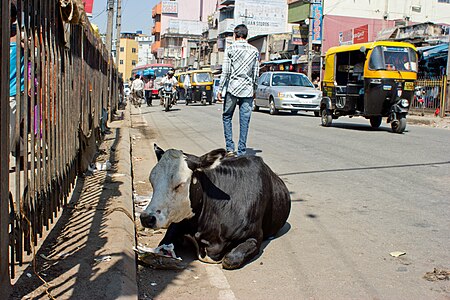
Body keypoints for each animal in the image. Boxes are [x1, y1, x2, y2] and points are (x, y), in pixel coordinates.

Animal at [141, 145, 292, 270]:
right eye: (152, 181)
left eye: (179, 184)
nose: (146, 218)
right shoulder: (177, 224)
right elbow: (162, 246)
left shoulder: (255, 236)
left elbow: (230, 259)